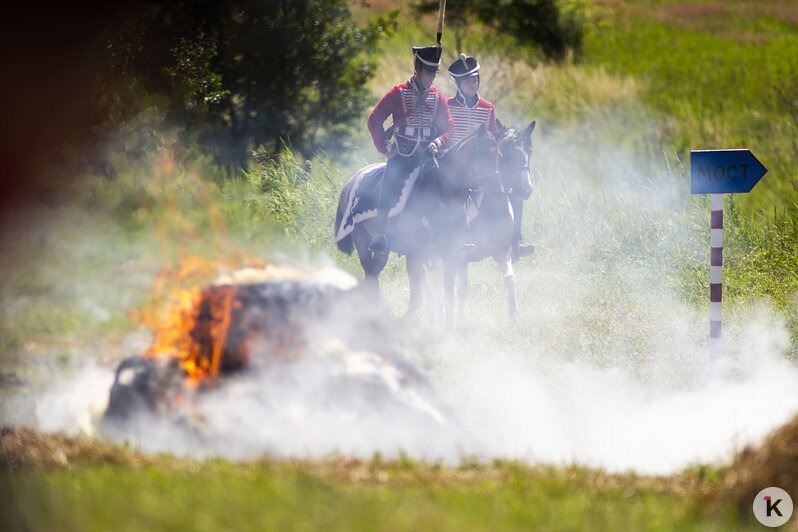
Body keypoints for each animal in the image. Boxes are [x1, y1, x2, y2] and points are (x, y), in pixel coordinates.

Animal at [332, 127, 500, 318]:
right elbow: (418, 298)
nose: (497, 189)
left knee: (374, 274)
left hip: (383, 253)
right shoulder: (414, 255)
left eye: (498, 155)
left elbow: (447, 295)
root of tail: (353, 178)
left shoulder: (451, 254)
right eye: (482, 154)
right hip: (362, 242)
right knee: (371, 275)